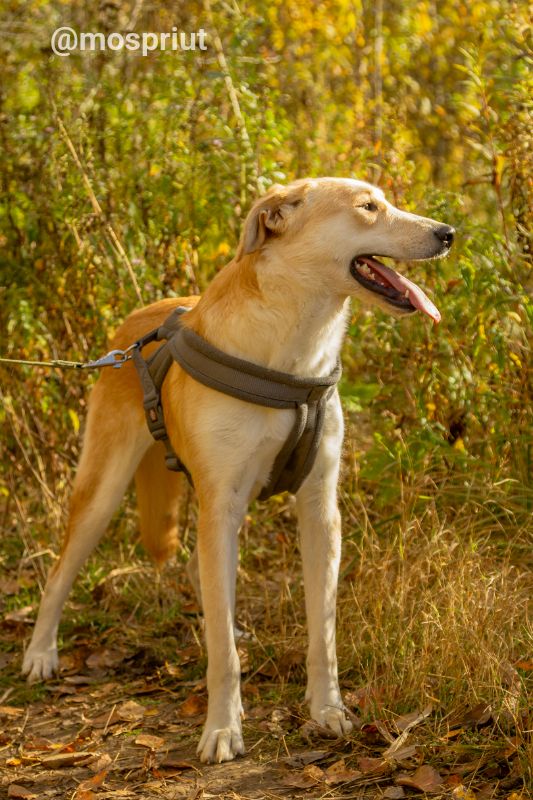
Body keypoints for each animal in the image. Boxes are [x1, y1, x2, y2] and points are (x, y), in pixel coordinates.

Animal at [21, 180, 454, 764]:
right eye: (368, 207)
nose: (448, 233)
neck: (293, 347)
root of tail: (135, 325)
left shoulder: (319, 510)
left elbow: (322, 633)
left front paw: (327, 710)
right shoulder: (220, 505)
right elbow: (222, 657)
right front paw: (222, 729)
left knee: (201, 576)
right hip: (105, 491)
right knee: (60, 573)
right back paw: (41, 653)